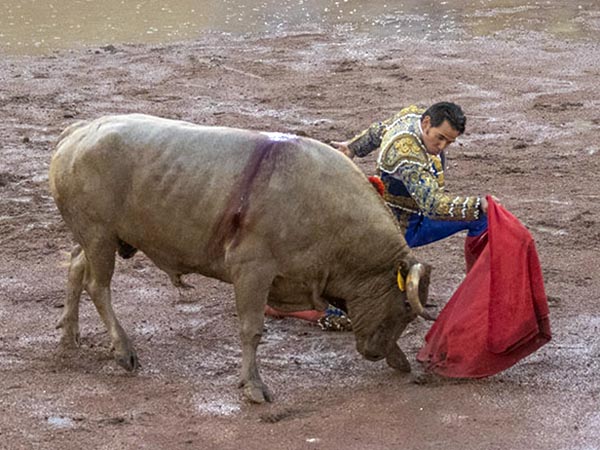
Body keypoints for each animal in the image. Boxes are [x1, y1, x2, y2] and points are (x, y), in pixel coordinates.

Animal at [48, 114, 432, 402]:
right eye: (405, 307)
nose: (379, 352)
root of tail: (77, 132)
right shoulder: (252, 270)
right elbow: (251, 329)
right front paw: (254, 387)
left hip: (98, 238)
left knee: (75, 266)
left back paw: (69, 335)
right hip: (100, 235)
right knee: (98, 286)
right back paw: (124, 351)